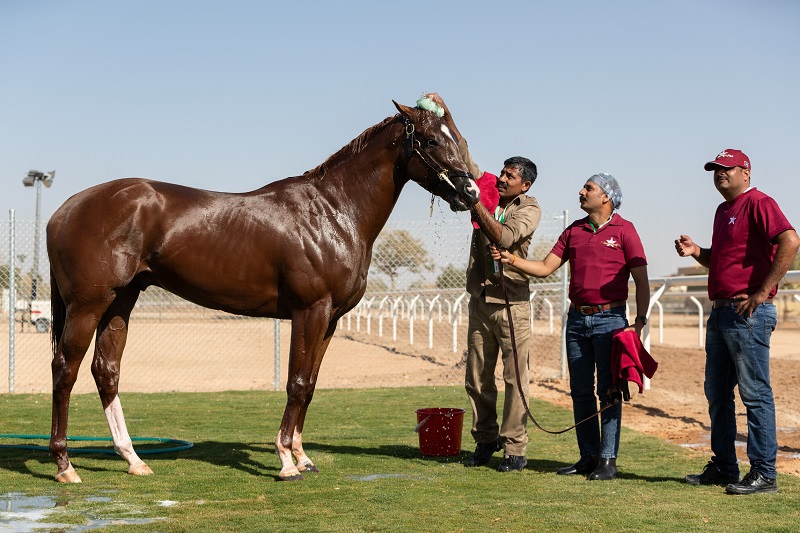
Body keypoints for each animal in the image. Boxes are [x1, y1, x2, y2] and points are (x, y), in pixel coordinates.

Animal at [47, 100, 482, 482]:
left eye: (458, 136)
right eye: (431, 140)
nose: (471, 193)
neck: (333, 211)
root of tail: (64, 210)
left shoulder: (330, 320)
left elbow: (310, 385)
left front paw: (304, 458)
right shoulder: (310, 311)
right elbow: (297, 383)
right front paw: (287, 461)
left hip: (121, 302)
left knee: (106, 370)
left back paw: (133, 459)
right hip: (88, 305)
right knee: (65, 370)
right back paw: (65, 466)